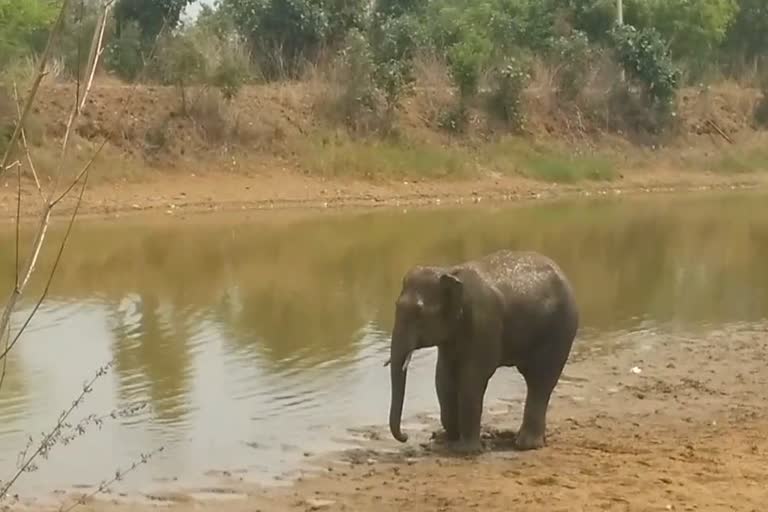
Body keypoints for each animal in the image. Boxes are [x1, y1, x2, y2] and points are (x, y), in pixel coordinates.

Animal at [388, 250, 580, 454]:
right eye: (396, 305)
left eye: (419, 314)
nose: (405, 436)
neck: (449, 271)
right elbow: (444, 378)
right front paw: (444, 440)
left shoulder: (484, 323)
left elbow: (472, 379)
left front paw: (463, 450)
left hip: (560, 331)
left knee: (541, 380)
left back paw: (525, 445)